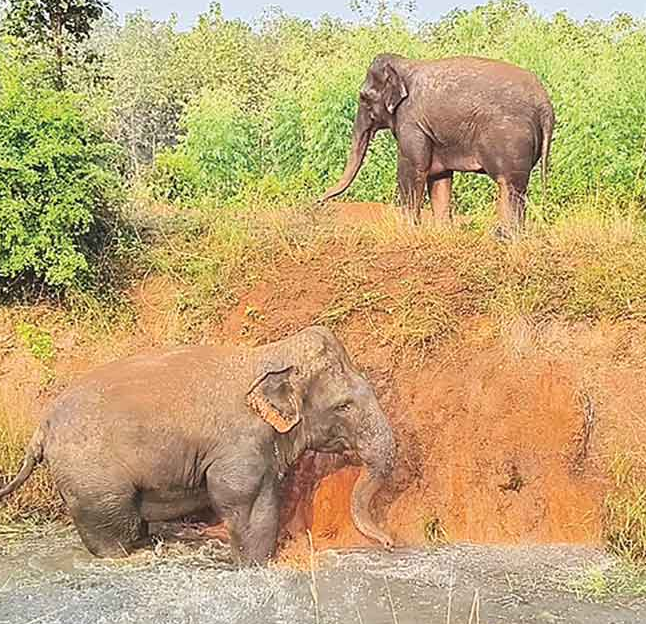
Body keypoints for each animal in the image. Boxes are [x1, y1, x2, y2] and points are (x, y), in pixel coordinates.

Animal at [0, 326, 398, 564]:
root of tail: (42, 426)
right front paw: (256, 564)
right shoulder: (239, 446)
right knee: (114, 530)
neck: (267, 355)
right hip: (91, 479)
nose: (391, 542)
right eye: (344, 405)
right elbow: (244, 500)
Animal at [322, 54, 556, 235]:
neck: (404, 65)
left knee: (508, 185)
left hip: (509, 139)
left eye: (363, 97)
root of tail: (544, 104)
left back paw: (506, 236)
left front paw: (408, 230)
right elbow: (439, 176)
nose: (320, 200)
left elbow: (412, 169)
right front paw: (442, 232)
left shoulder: (411, 123)